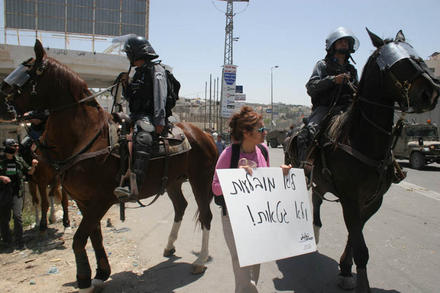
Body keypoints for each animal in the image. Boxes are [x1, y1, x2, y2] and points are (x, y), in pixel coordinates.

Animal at [0, 40, 217, 290]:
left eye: (26, 70)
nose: (2, 101)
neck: (86, 137)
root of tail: (204, 133)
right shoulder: (84, 201)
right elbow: (95, 237)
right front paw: (100, 273)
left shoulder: (100, 201)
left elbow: (79, 239)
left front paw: (84, 279)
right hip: (173, 182)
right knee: (181, 207)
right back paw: (170, 246)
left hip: (201, 180)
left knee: (205, 215)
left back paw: (200, 260)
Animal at [284, 28, 438, 292]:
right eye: (400, 63)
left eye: (416, 55)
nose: (431, 92)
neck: (360, 138)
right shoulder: (350, 199)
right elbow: (361, 248)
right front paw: (361, 283)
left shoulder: (372, 201)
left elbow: (354, 236)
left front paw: (346, 269)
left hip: (319, 180)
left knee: (317, 199)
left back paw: (315, 230)